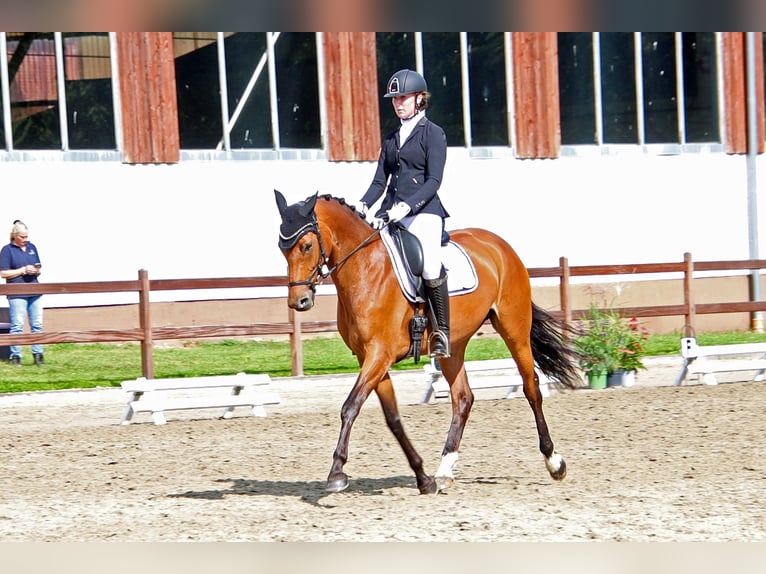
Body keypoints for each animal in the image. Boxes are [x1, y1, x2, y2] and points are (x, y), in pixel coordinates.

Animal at [274, 190, 582, 494]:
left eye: (306, 246)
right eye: (281, 248)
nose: (299, 301)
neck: (365, 268)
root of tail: (499, 245)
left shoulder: (379, 355)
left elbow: (350, 406)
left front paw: (337, 472)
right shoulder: (371, 358)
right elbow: (393, 419)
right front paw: (423, 478)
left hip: (514, 329)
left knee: (531, 388)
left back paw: (554, 462)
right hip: (453, 347)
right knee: (463, 398)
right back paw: (444, 470)